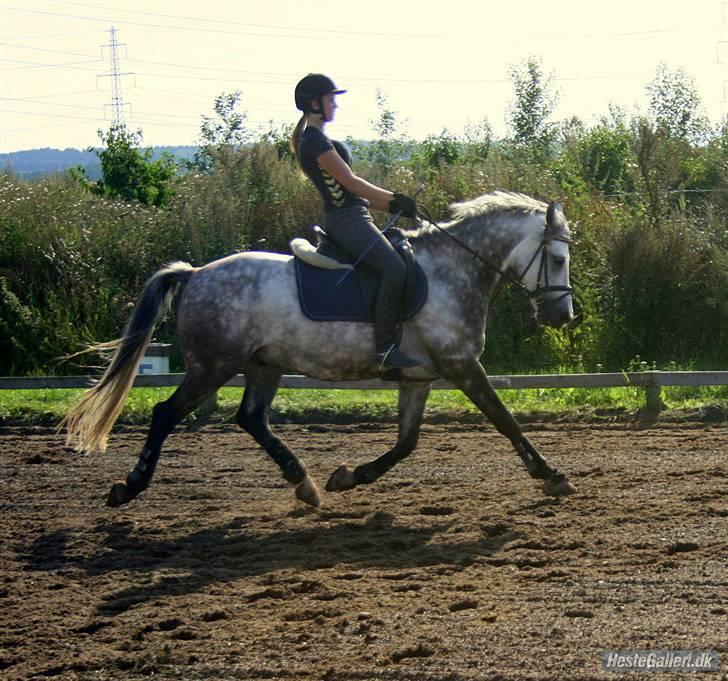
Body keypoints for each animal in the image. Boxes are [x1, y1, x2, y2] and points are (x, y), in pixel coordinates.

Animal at [64, 189, 576, 508]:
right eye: (557, 258)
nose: (562, 315)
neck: (453, 270)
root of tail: (195, 273)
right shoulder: (462, 366)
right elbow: (504, 419)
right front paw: (551, 474)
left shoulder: (419, 377)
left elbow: (406, 442)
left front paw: (349, 476)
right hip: (212, 366)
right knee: (166, 414)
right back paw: (129, 486)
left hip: (262, 365)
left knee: (251, 418)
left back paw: (305, 484)